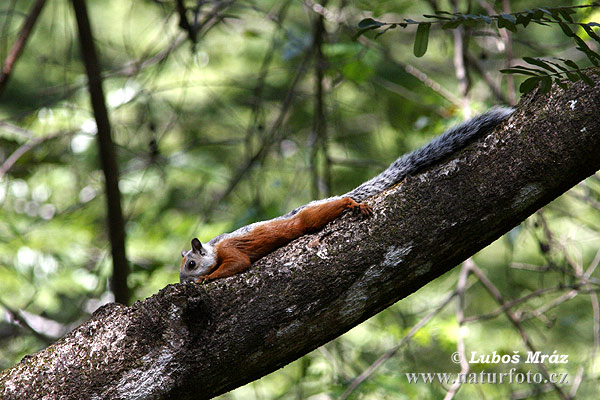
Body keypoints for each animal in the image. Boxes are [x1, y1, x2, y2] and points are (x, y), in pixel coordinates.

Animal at [180, 106, 512, 282]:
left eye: (191, 264)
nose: (184, 282)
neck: (213, 248)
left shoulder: (230, 251)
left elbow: (238, 265)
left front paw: (207, 279)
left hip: (307, 219)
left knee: (326, 210)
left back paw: (351, 203)